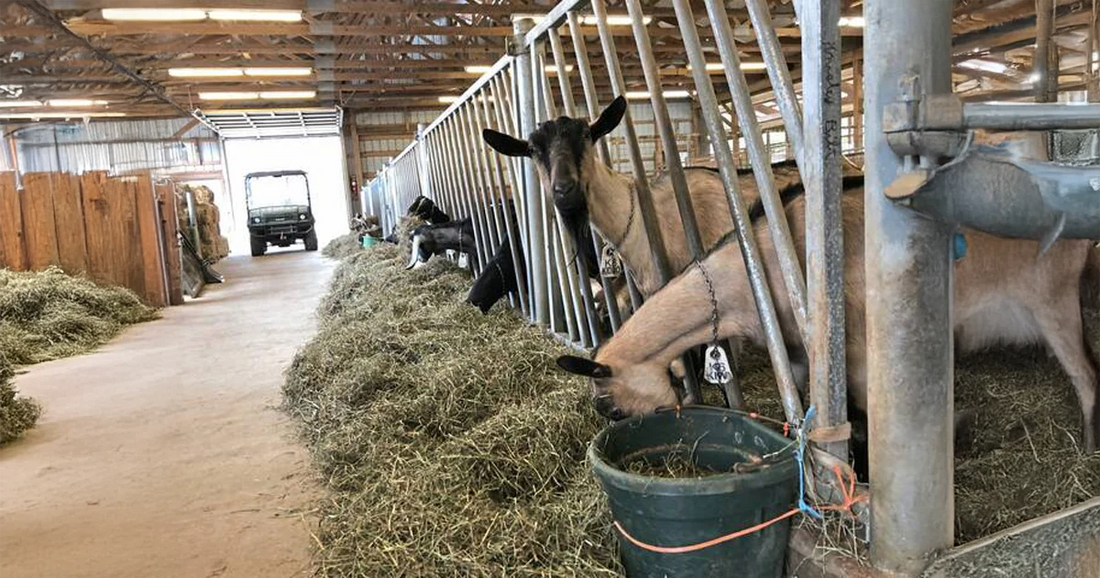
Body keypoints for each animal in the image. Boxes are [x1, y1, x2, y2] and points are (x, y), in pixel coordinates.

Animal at [555, 181, 1100, 455]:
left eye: (610, 408)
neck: (752, 267)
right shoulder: (796, 353)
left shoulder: (854, 351)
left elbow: (867, 410)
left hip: (1053, 302)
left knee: (1087, 376)